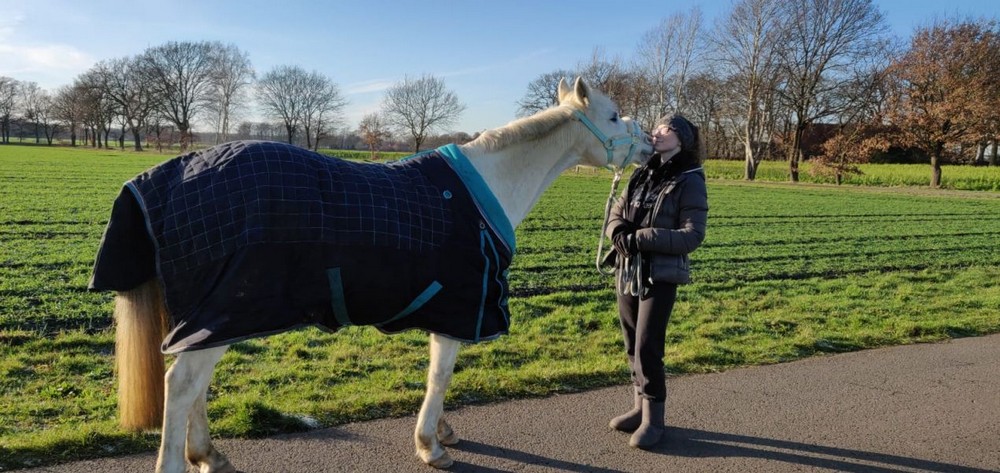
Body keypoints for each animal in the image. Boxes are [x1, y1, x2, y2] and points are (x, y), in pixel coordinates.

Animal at [91, 77, 652, 473]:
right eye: (613, 114)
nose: (649, 142)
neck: (487, 186)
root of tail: (172, 174)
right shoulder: (459, 307)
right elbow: (440, 374)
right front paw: (430, 445)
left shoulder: (443, 308)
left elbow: (437, 375)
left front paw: (443, 430)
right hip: (219, 315)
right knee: (182, 385)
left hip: (213, 322)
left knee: (195, 388)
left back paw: (208, 455)